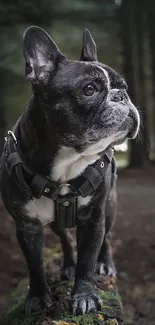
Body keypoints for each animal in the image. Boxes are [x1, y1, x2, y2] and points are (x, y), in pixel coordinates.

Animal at [0, 26, 140, 312]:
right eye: (89, 89)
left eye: (123, 87)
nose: (122, 96)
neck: (66, 164)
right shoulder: (27, 226)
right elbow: (35, 265)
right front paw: (37, 296)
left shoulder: (94, 218)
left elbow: (88, 258)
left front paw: (85, 295)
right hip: (55, 223)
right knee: (64, 237)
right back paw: (68, 265)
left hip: (110, 205)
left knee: (107, 238)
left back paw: (105, 264)